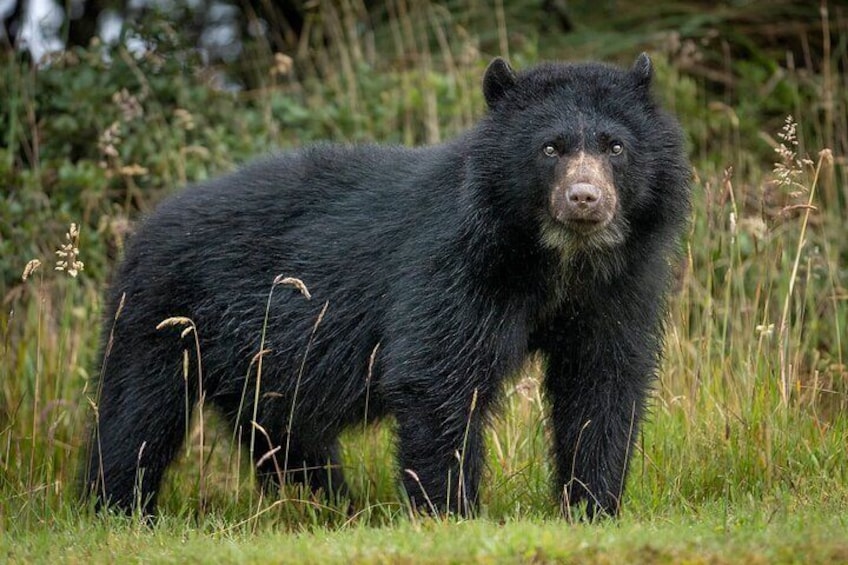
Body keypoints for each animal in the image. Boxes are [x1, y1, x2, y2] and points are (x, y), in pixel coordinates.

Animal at [83, 55, 688, 516]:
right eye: (550, 148)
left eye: (614, 147)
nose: (584, 199)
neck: (557, 260)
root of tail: (145, 227)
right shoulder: (453, 265)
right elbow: (439, 376)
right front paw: (449, 511)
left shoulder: (618, 287)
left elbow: (601, 382)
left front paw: (592, 505)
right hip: (162, 317)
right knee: (137, 414)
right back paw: (117, 507)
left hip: (254, 356)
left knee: (282, 431)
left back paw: (328, 503)